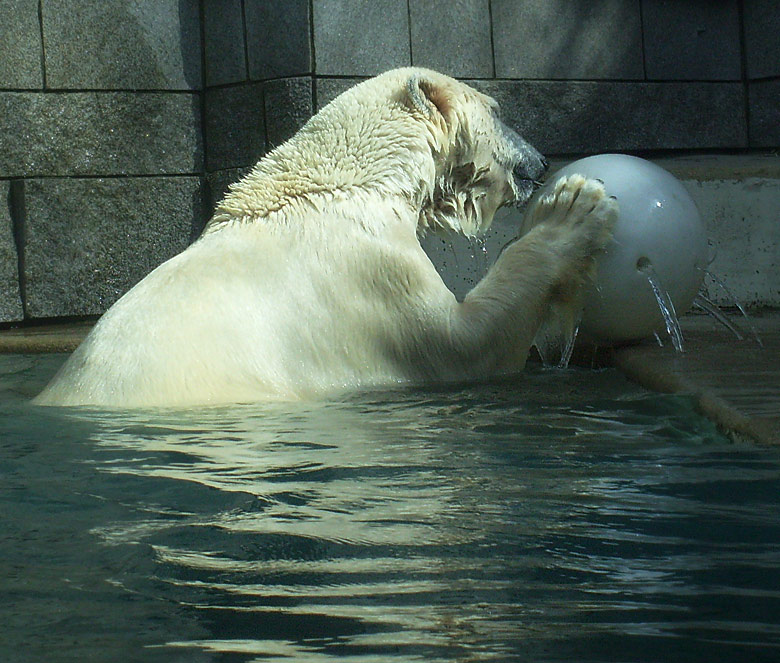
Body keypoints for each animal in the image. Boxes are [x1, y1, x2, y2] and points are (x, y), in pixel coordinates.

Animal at [36, 68, 620, 410]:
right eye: (499, 111)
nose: (541, 163)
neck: (347, 180)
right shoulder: (373, 276)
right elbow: (466, 343)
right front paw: (575, 209)